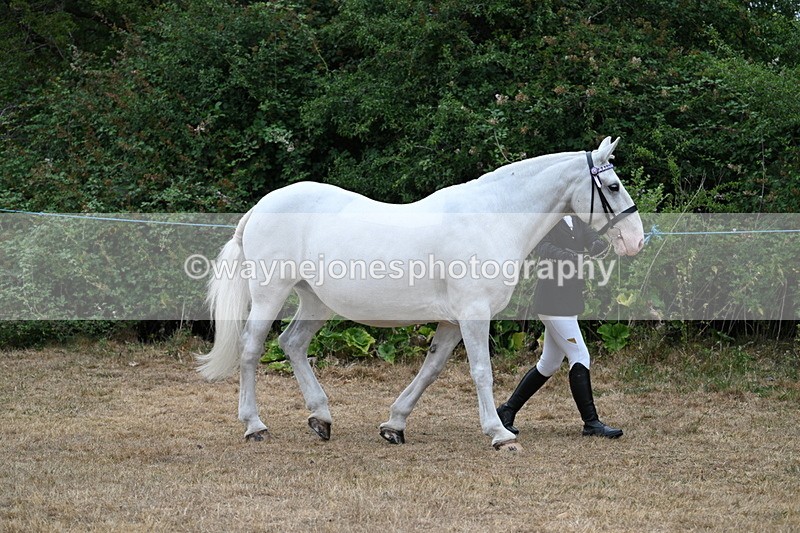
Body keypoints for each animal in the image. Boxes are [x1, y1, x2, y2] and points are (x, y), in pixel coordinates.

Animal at [197, 136, 644, 451]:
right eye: (613, 185)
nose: (635, 241)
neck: (491, 219)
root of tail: (260, 207)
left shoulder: (451, 321)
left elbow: (430, 371)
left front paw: (394, 426)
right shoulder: (474, 314)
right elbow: (481, 371)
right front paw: (500, 434)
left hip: (316, 301)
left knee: (292, 343)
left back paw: (321, 418)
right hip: (270, 293)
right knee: (252, 348)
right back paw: (255, 426)